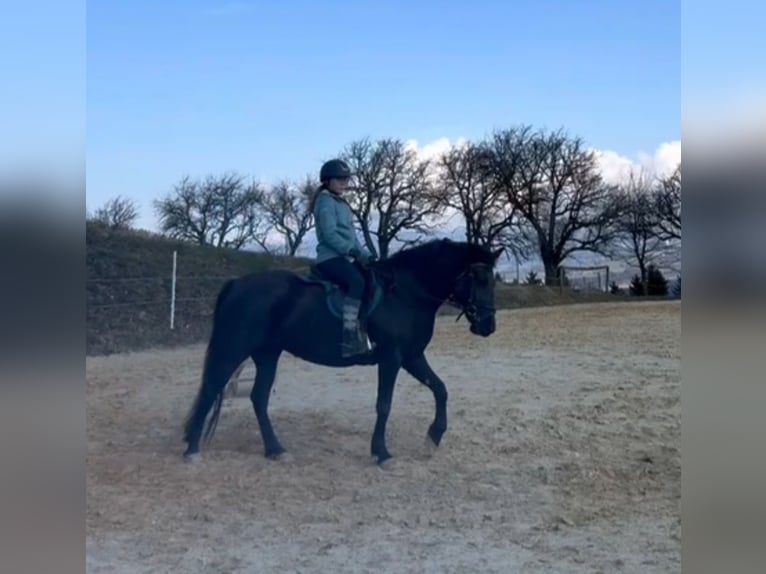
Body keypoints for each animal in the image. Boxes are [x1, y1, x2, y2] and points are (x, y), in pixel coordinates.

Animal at [182, 238, 502, 465]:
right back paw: (192, 450)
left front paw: (433, 438)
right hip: (235, 348)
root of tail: (237, 283)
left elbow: (440, 389)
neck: (407, 292)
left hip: (267, 354)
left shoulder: (412, 357)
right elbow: (384, 404)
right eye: (479, 279)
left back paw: (276, 450)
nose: (488, 326)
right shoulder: (392, 358)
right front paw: (381, 453)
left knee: (258, 398)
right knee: (211, 389)